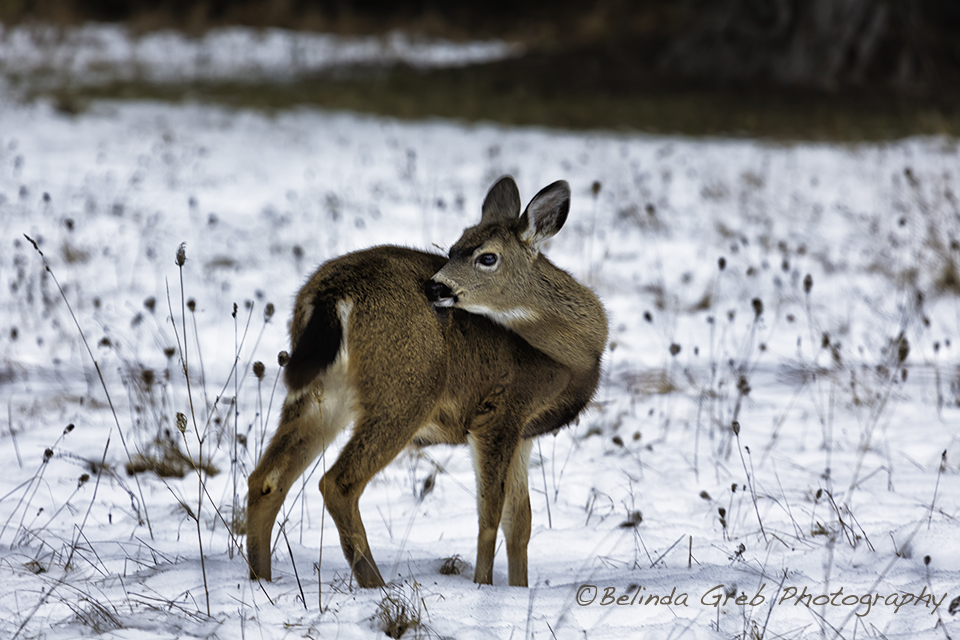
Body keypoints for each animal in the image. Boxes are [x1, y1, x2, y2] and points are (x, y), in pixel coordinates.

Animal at [248, 176, 608, 592]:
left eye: (486, 257)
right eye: (451, 250)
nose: (435, 287)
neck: (573, 359)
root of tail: (333, 294)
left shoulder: (524, 433)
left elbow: (520, 523)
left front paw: (519, 589)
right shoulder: (499, 412)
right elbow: (490, 516)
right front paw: (483, 588)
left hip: (322, 392)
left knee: (265, 480)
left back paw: (260, 578)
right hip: (407, 387)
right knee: (337, 483)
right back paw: (375, 584)